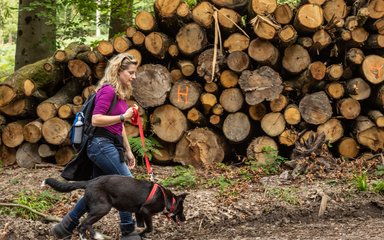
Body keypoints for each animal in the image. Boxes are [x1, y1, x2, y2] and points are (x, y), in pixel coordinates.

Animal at [43, 175, 188, 239]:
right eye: (182, 210)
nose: (185, 219)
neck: (168, 199)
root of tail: (89, 182)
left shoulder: (139, 212)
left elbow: (140, 224)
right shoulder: (145, 211)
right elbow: (149, 227)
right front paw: (142, 233)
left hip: (93, 207)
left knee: (83, 224)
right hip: (102, 208)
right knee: (83, 225)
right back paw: (92, 236)